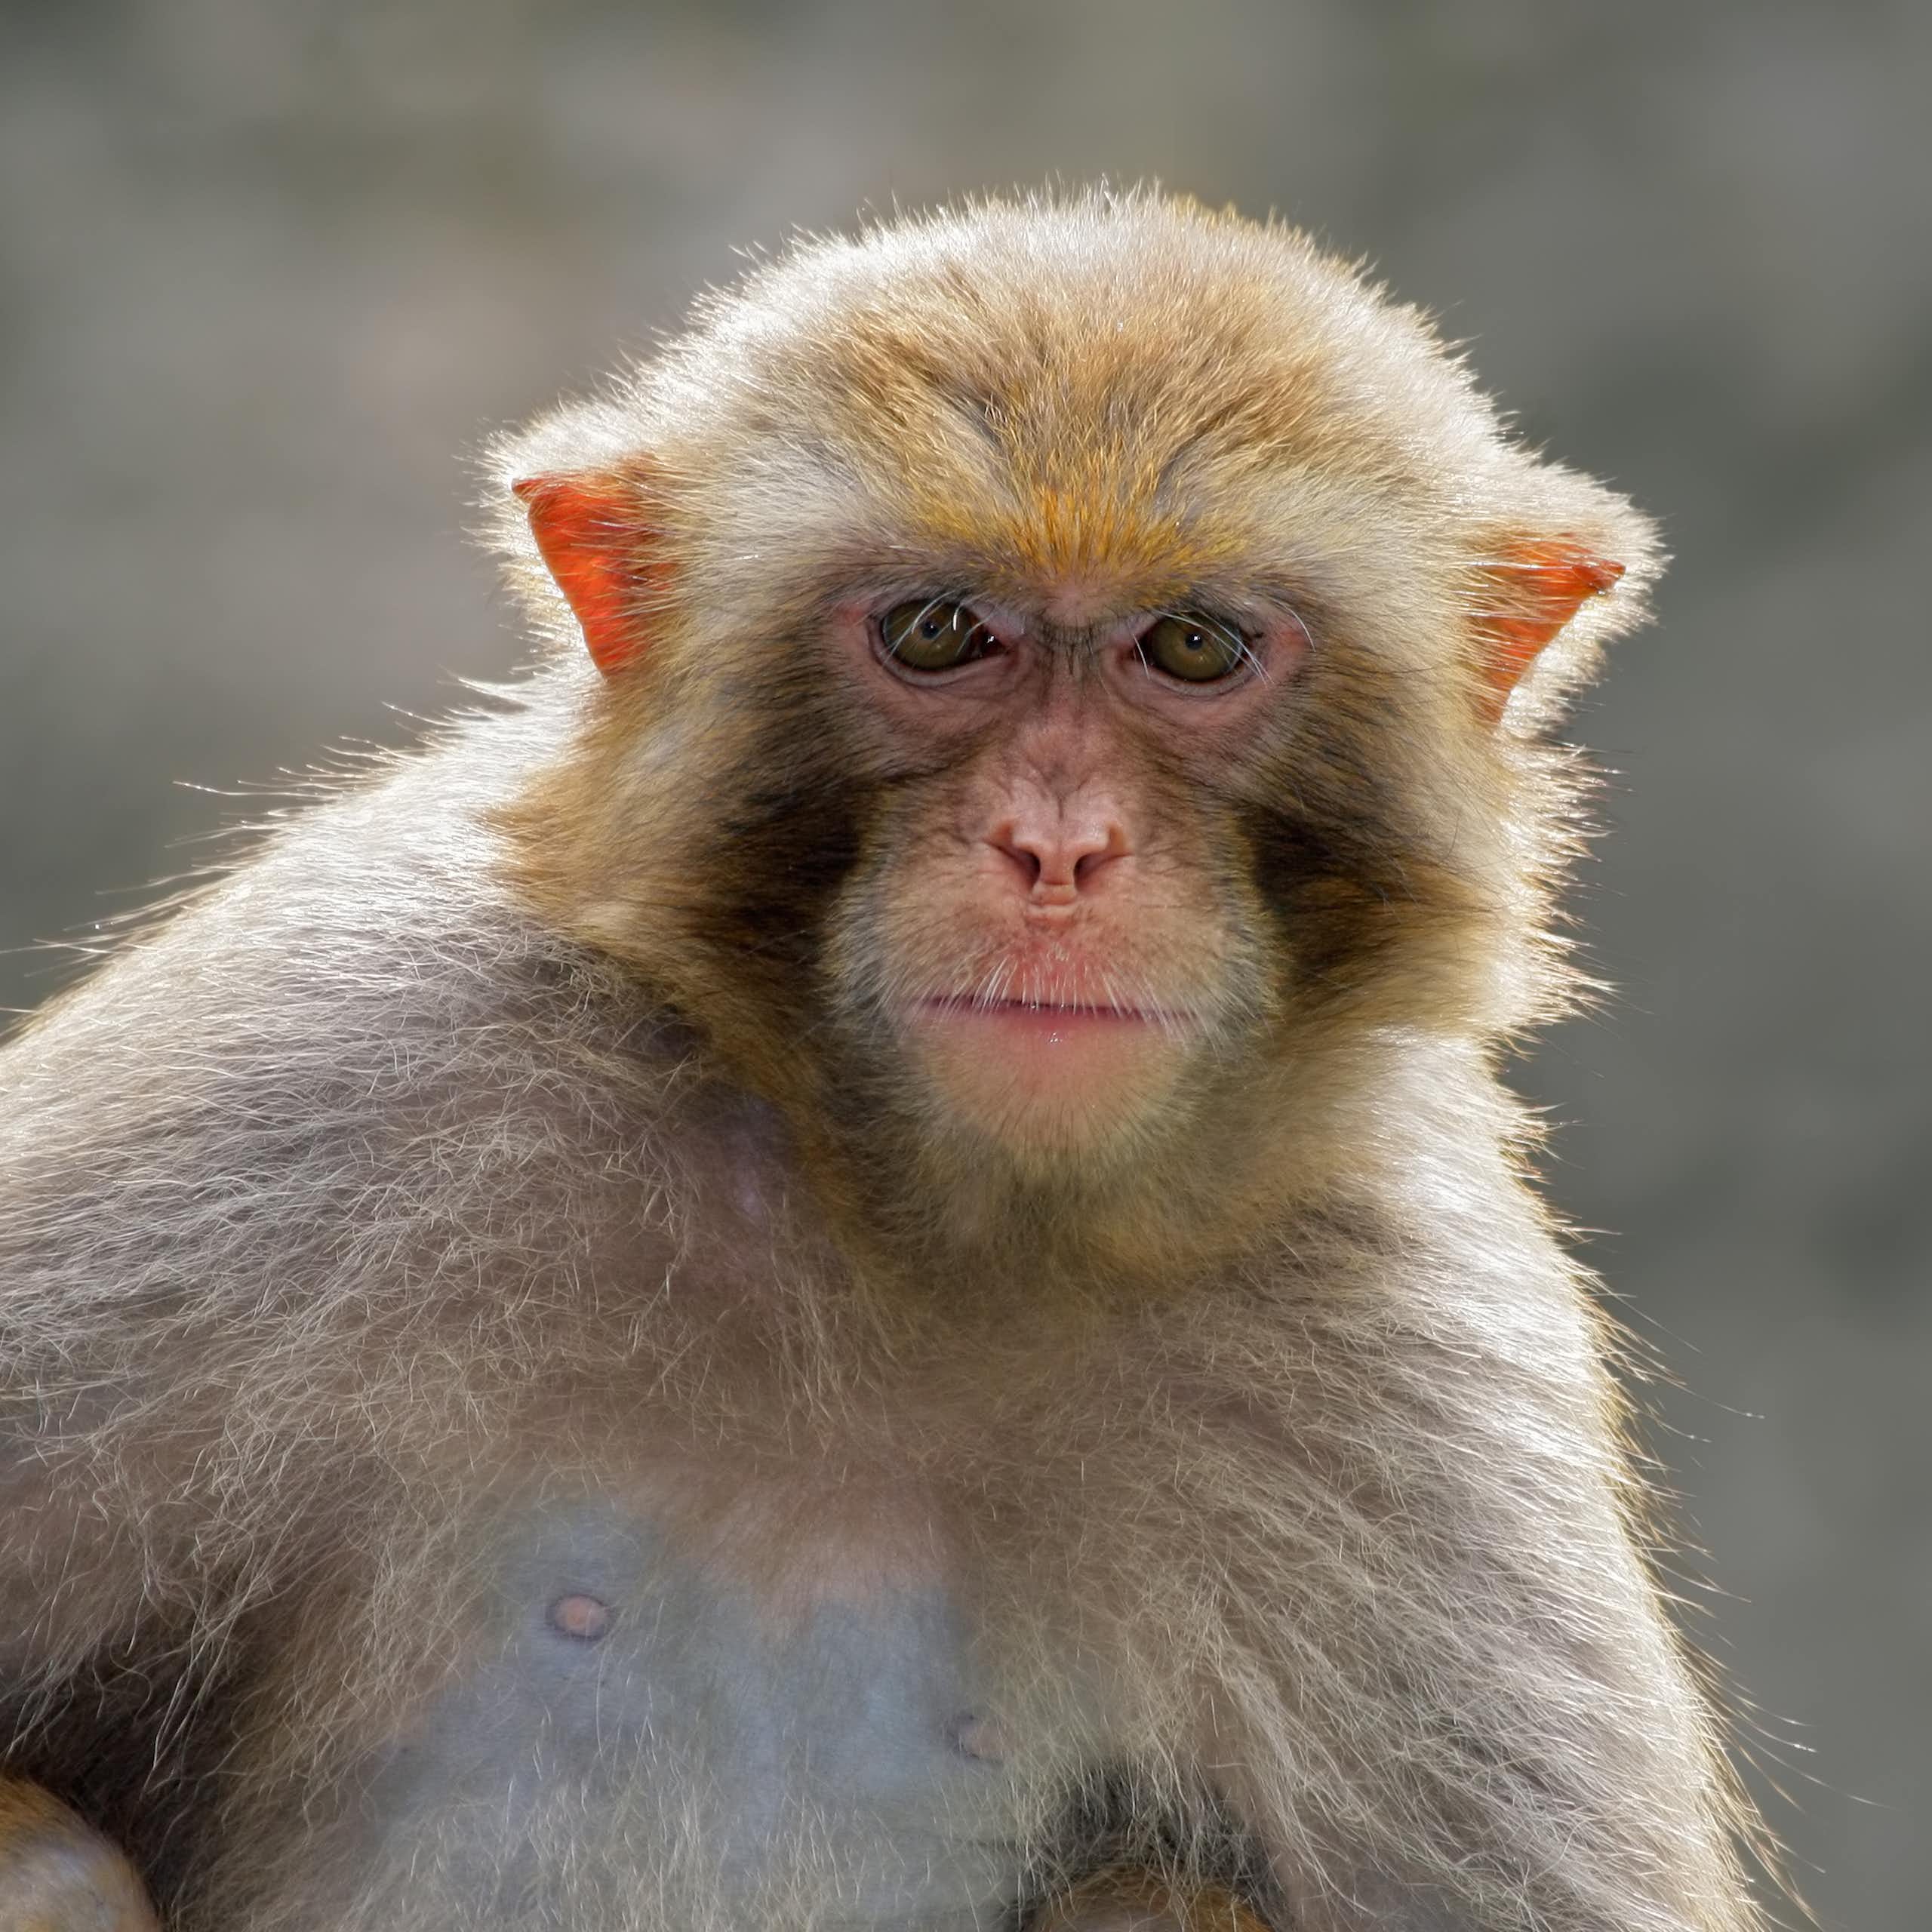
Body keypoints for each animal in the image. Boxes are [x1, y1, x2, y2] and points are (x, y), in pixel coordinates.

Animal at [0, 189, 1774, 1932]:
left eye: (1194, 649)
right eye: (938, 633)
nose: (1057, 848)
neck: (923, 1234)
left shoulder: (1413, 1354)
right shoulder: (332, 1077)